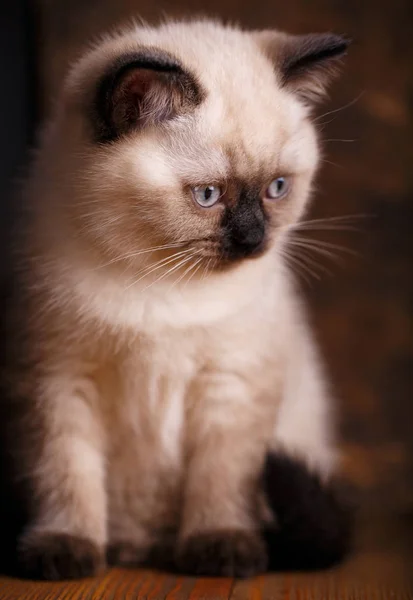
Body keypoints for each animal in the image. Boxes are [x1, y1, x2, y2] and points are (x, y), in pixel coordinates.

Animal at [1, 18, 352, 580]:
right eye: (208, 196)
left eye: (277, 188)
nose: (254, 239)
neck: (159, 284)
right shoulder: (56, 383)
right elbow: (67, 476)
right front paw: (65, 549)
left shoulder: (231, 383)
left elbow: (221, 478)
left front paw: (221, 548)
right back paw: (124, 549)